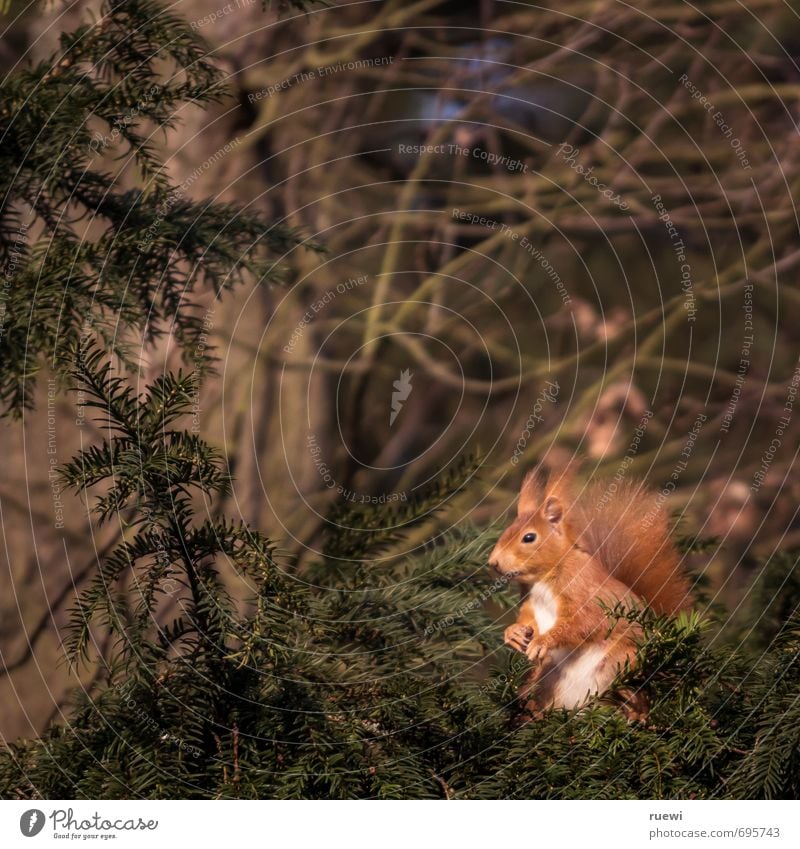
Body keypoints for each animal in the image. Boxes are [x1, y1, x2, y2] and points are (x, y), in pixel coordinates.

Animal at [490, 464, 692, 716]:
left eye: (529, 537)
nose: (493, 562)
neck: (544, 579)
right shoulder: (530, 601)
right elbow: (528, 620)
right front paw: (514, 633)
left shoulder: (583, 591)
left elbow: (584, 622)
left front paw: (543, 641)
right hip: (547, 676)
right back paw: (534, 711)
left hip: (623, 661)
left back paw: (634, 713)